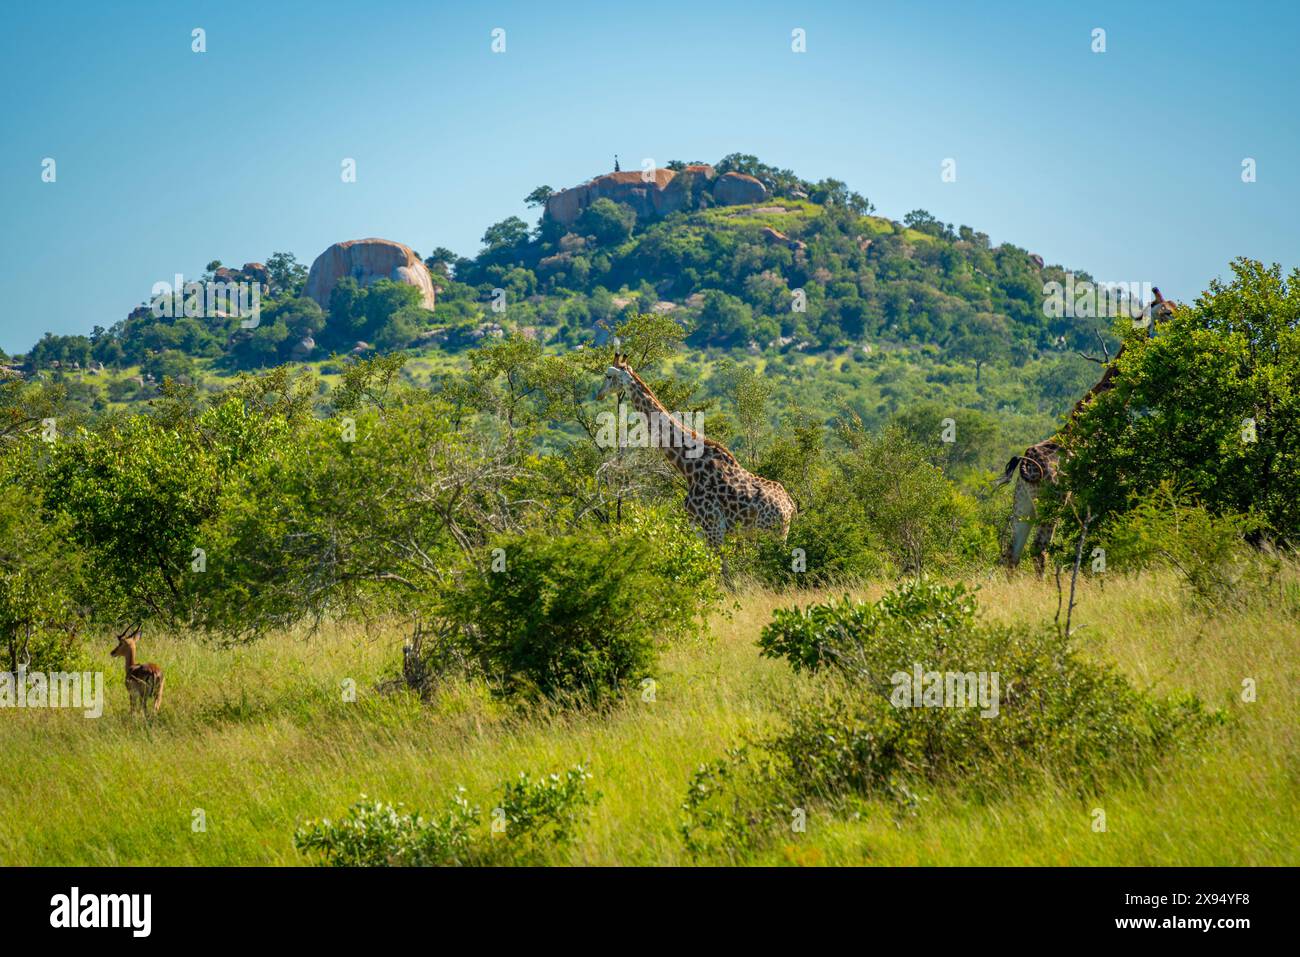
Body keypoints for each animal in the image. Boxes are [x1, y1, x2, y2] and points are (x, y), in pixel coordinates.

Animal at [596, 353, 795, 555]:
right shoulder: (699, 529)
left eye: (608, 376)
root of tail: (790, 505)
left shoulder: (713, 527)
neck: (689, 469)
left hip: (770, 533)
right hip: (776, 534)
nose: (598, 394)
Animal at [996, 288, 1176, 571]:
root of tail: (1025, 463)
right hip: (1053, 499)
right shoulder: (1115, 479)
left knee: (1011, 555)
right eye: (1167, 312)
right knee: (1039, 550)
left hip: (1023, 502)